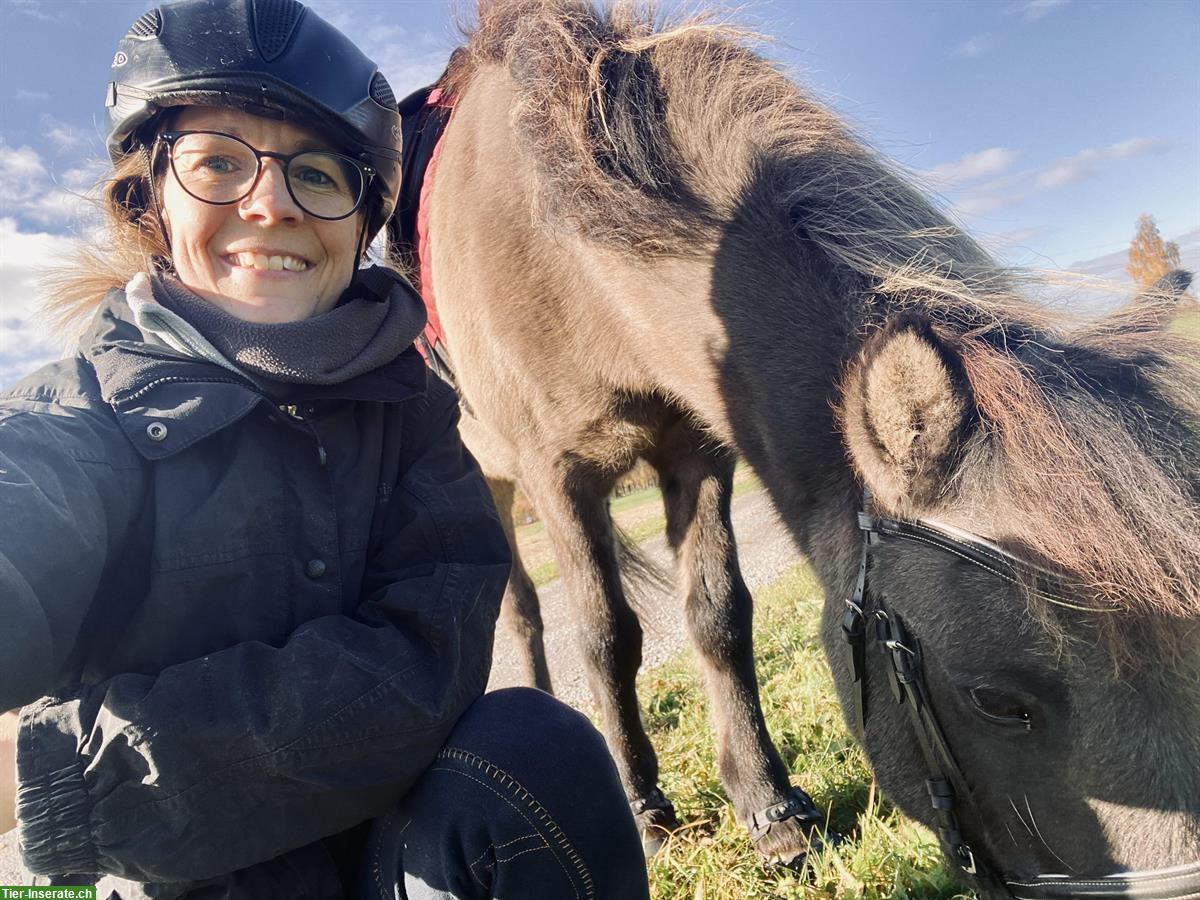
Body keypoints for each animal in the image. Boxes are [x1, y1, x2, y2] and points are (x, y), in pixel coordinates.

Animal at [394, 0, 1200, 890]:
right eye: (997, 701)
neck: (553, 242)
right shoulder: (557, 475)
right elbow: (606, 639)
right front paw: (647, 816)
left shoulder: (697, 455)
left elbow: (717, 615)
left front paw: (770, 810)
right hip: (495, 487)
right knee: (524, 614)